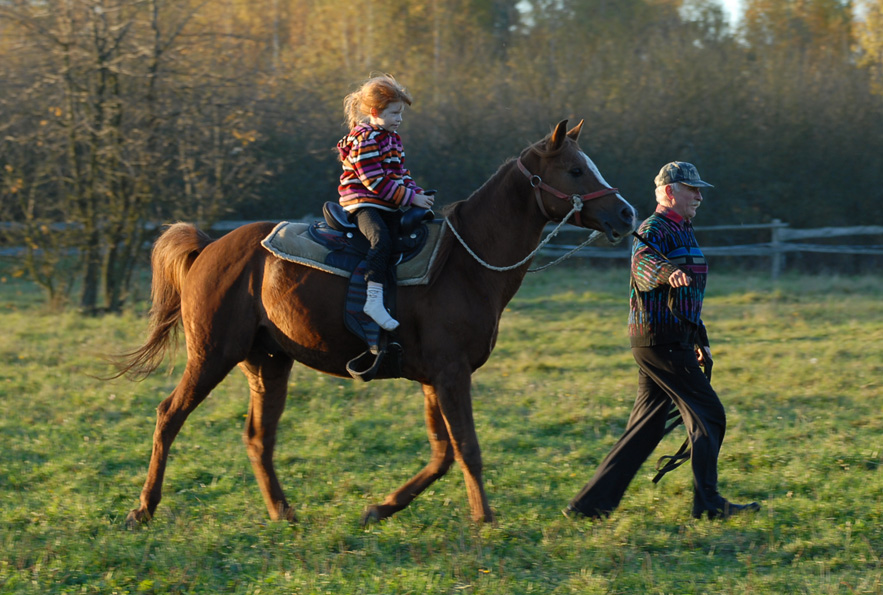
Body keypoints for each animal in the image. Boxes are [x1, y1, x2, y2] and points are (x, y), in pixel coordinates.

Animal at [117, 120, 636, 528]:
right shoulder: (451, 374)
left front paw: (380, 508)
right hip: (212, 355)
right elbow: (466, 447)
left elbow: (442, 453)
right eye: (575, 170)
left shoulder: (433, 379)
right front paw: (484, 518)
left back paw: (283, 512)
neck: (466, 262)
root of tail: (209, 247)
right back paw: (143, 509)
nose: (627, 213)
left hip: (269, 364)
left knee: (258, 438)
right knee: (169, 415)